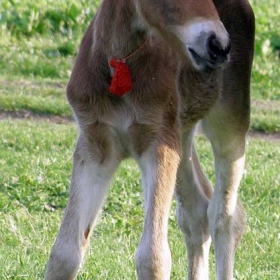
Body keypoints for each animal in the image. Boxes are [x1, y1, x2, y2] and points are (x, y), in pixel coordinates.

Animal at [44, 0, 255, 280]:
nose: (218, 44)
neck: (120, 64)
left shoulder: (158, 144)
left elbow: (153, 257)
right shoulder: (95, 145)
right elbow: (64, 254)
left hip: (229, 115)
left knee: (225, 215)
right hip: (182, 133)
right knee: (197, 213)